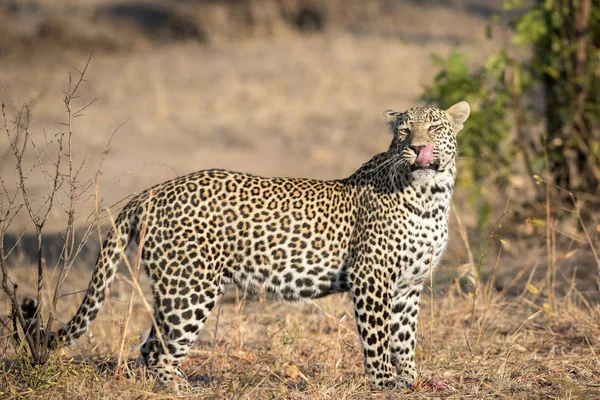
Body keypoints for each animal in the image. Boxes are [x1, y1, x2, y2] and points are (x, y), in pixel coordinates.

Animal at [22, 101, 468, 390]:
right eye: (404, 130)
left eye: (434, 127)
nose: (416, 147)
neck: (431, 195)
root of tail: (151, 192)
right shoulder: (371, 278)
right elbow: (377, 338)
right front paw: (384, 383)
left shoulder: (408, 285)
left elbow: (405, 337)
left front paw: (409, 379)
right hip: (190, 288)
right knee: (160, 350)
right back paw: (184, 389)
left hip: (176, 289)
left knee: (149, 346)